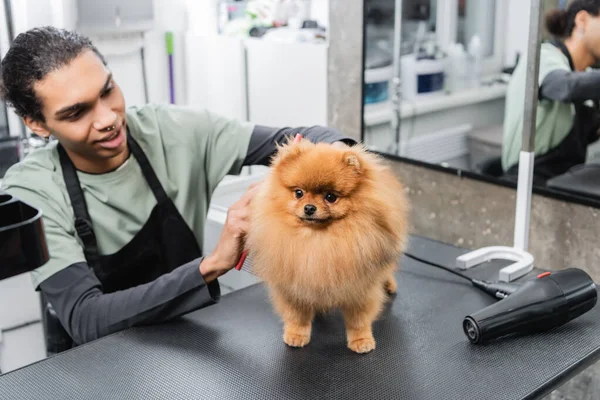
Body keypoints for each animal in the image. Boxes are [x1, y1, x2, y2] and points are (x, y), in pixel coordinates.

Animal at [245, 138, 408, 354]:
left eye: (330, 197)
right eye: (299, 193)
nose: (309, 208)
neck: (318, 240)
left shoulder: (361, 289)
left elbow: (359, 319)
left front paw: (361, 340)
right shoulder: (293, 285)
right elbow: (297, 315)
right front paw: (297, 334)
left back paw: (389, 285)